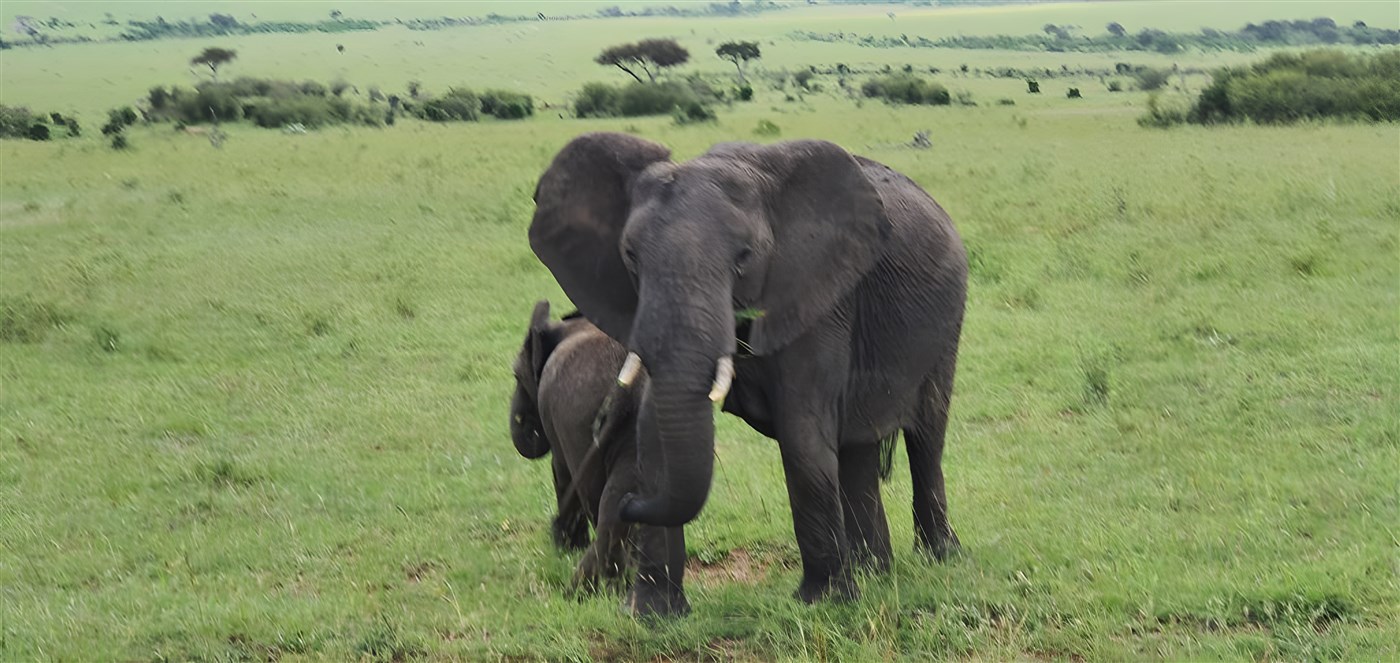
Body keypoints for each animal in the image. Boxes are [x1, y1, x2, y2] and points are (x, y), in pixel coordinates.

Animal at [509, 300, 689, 612]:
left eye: (516, 376)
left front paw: (566, 546)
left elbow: (561, 471)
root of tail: (628, 387)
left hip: (579, 418)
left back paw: (583, 593)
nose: (522, 421)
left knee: (601, 501)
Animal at [529, 133, 967, 616]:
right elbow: (655, 434)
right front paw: (652, 614)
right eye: (630, 257)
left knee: (926, 436)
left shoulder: (818, 292)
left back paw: (939, 557)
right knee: (858, 448)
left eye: (744, 257)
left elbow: (802, 435)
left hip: (946, 324)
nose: (628, 503)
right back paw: (875, 571)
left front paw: (824, 604)